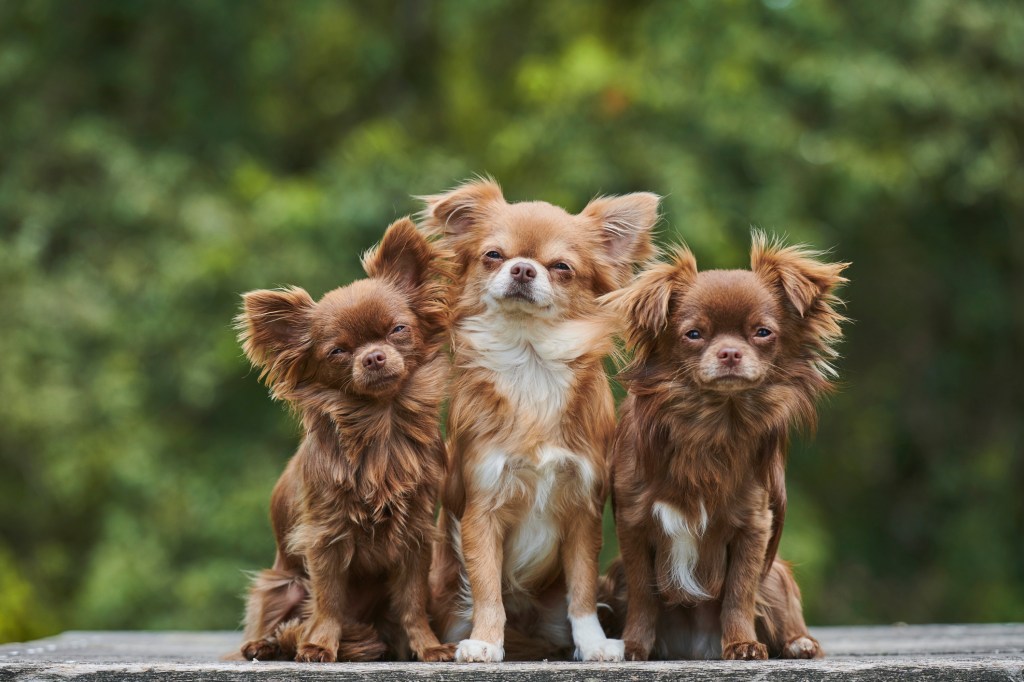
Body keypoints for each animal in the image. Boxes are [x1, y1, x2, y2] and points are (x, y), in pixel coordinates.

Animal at [237, 216, 454, 659]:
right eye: (338, 351)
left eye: (398, 330)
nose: (373, 356)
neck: (381, 425)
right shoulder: (325, 537)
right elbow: (329, 599)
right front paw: (318, 645)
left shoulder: (415, 536)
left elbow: (412, 602)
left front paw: (427, 647)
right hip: (279, 584)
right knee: (275, 617)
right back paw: (266, 645)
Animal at [419, 175, 659, 659]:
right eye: (494, 255)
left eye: (561, 267)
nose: (524, 269)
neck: (530, 364)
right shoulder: (482, 511)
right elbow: (488, 588)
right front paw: (485, 643)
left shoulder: (583, 511)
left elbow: (582, 590)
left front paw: (595, 643)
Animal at [598, 233, 847, 659]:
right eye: (694, 334)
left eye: (762, 332)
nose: (730, 352)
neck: (712, 422)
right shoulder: (633, 524)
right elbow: (644, 594)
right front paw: (632, 645)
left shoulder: (754, 527)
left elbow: (739, 591)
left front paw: (742, 643)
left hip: (774, 572)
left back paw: (799, 642)